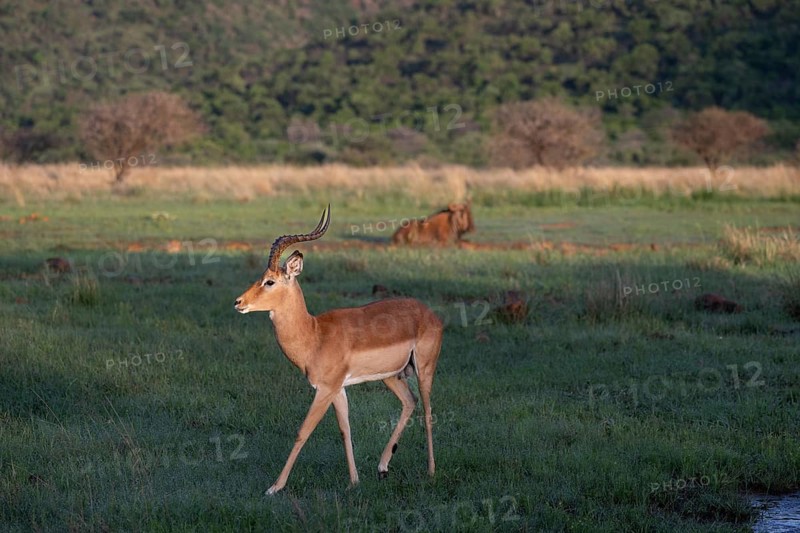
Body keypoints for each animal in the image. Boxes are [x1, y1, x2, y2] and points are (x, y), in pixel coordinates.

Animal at [234, 205, 443, 495]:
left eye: (269, 281)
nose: (239, 302)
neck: (314, 334)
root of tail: (430, 313)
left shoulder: (324, 390)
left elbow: (302, 431)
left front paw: (274, 487)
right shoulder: (338, 389)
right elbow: (345, 429)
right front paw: (354, 481)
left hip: (424, 369)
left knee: (427, 410)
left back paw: (431, 472)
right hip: (392, 376)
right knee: (409, 402)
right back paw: (382, 467)